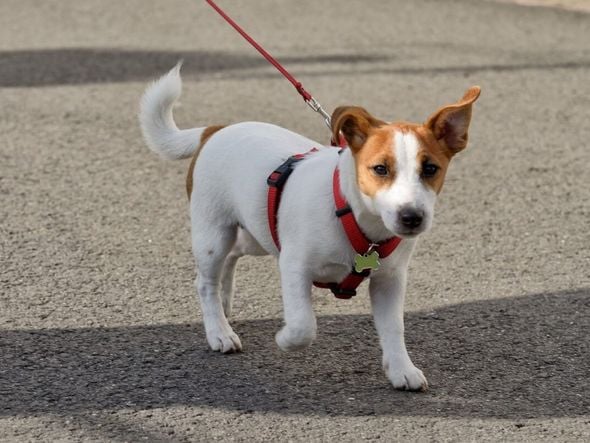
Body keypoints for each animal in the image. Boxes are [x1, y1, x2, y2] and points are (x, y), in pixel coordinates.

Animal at [139, 64, 480, 390]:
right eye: (380, 169)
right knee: (205, 281)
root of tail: (215, 130)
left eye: (431, 169)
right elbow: (304, 325)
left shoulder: (390, 280)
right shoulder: (294, 266)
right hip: (213, 233)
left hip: (257, 231)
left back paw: (224, 304)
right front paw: (285, 339)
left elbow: (394, 327)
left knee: (233, 255)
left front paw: (401, 370)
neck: (353, 215)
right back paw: (219, 331)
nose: (412, 217)